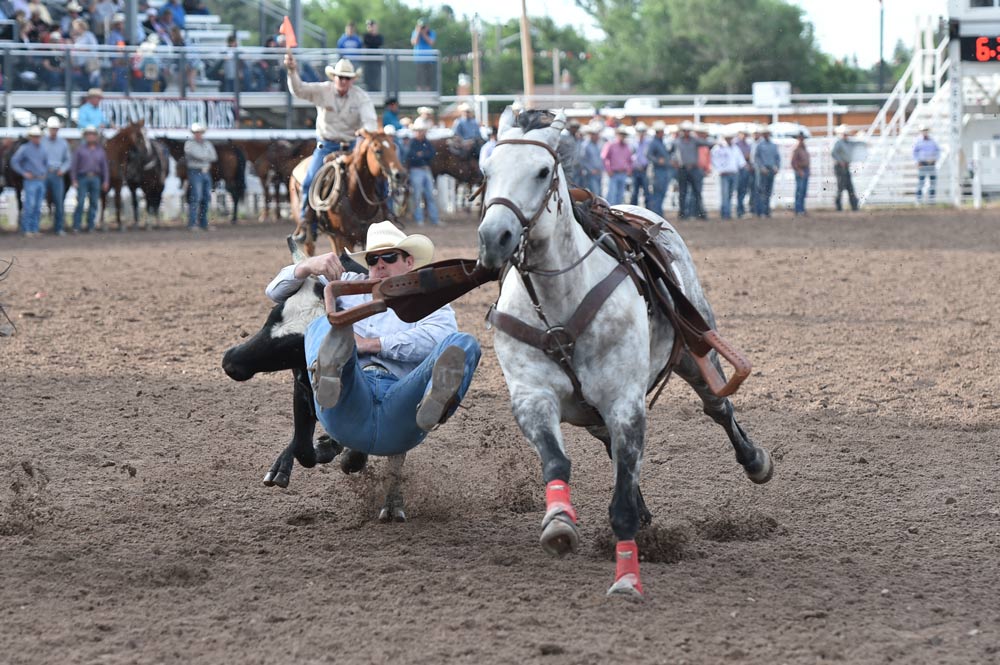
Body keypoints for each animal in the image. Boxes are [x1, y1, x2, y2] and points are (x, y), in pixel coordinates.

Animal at [474, 109, 772, 596]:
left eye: (542, 171)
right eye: (487, 170)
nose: (494, 237)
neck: (560, 302)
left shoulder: (625, 402)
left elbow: (622, 506)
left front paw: (627, 577)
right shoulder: (531, 398)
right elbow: (556, 460)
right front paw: (559, 522)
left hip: (692, 353)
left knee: (717, 407)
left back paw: (755, 461)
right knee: (612, 445)